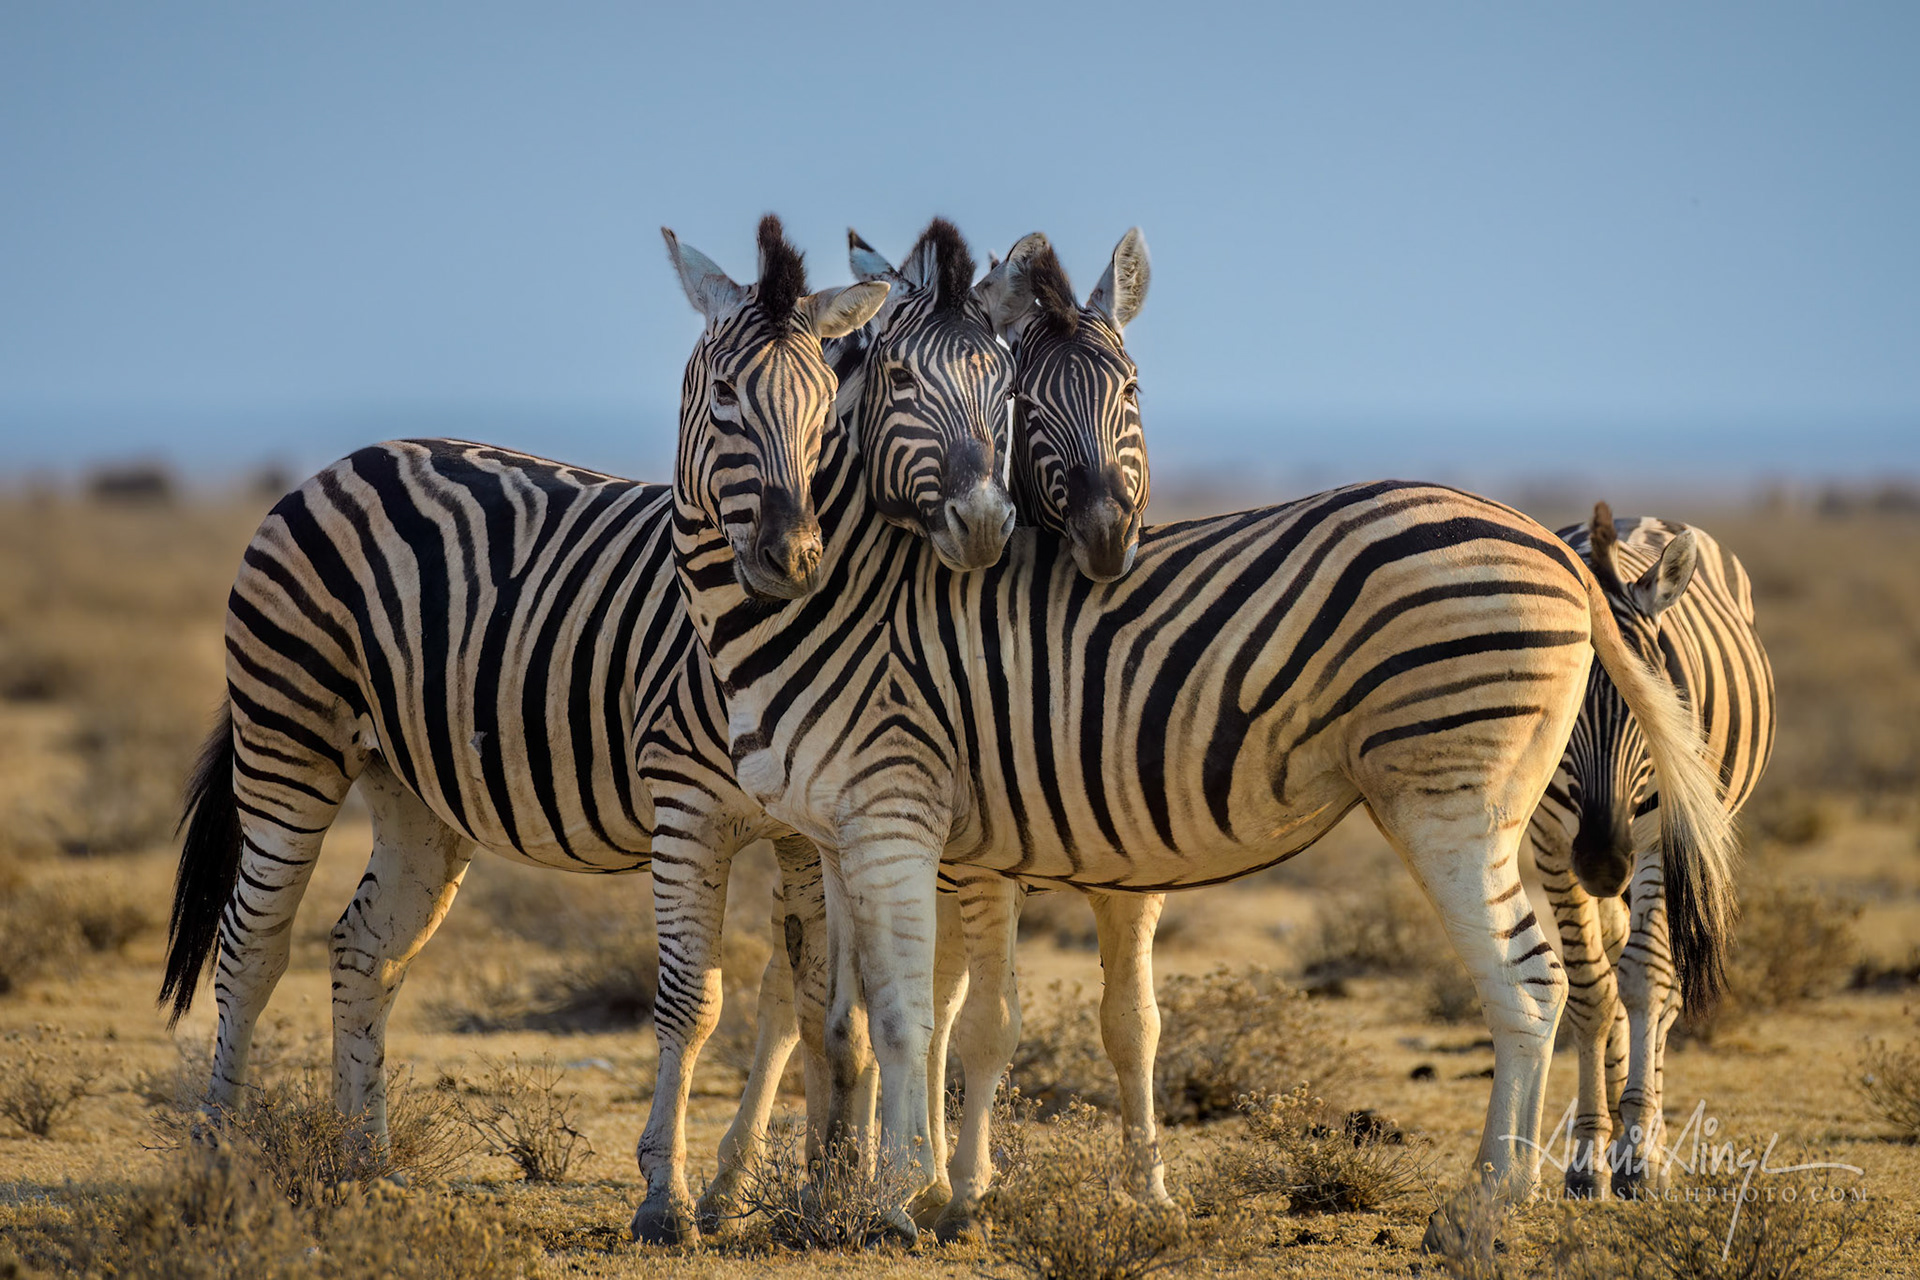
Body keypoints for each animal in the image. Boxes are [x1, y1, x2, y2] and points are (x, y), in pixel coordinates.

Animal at [157, 215, 1058, 1246]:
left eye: (825, 400)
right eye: (724, 397)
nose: (792, 557)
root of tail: (347, 461)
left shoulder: (807, 828)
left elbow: (815, 1003)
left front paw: (828, 1188)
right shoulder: (689, 812)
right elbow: (693, 1001)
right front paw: (670, 1198)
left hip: (414, 791)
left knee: (363, 948)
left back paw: (364, 1165)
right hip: (287, 741)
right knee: (252, 949)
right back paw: (222, 1157)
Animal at [662, 256, 1742, 1233]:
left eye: (820, 404)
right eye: (726, 399)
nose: (788, 557)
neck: (856, 599)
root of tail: (1558, 547)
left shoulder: (895, 817)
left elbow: (903, 1015)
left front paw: (894, 1199)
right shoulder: (850, 833)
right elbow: (844, 1013)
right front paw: (866, 1189)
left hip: (1448, 796)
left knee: (1527, 979)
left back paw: (1483, 1203)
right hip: (1514, 801)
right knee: (1554, 976)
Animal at [1530, 503, 1773, 1198]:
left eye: (1656, 705)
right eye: (1562, 705)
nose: (1602, 862)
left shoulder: (1667, 837)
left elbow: (1646, 981)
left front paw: (1639, 1153)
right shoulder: (1551, 840)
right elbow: (1591, 989)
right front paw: (1590, 1152)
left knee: (1659, 989)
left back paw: (1651, 1137)